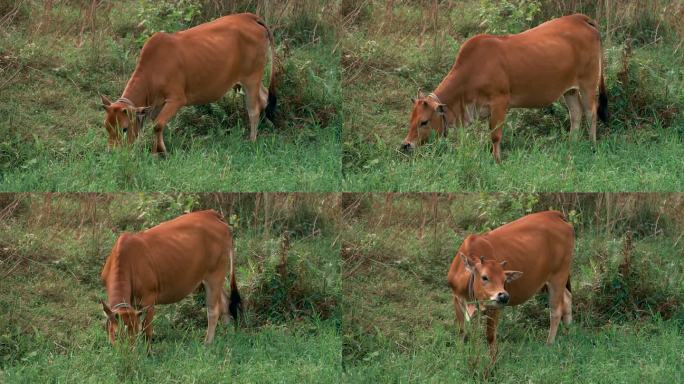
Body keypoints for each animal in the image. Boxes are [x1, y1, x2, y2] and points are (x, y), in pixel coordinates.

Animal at [99, 210, 240, 344]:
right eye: (116, 334)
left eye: (134, 332)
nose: (127, 352)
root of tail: (212, 214)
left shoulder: (149, 299)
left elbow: (147, 331)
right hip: (210, 276)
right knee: (225, 301)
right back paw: (228, 335)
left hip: (215, 273)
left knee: (213, 310)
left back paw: (208, 343)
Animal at [100, 14, 276, 154]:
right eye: (106, 126)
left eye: (124, 128)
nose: (111, 152)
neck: (152, 71)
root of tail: (250, 17)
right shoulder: (156, 104)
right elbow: (156, 125)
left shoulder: (177, 99)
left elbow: (157, 125)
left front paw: (159, 151)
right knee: (264, 97)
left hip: (252, 77)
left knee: (253, 109)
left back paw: (252, 140)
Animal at [400, 14, 608, 162]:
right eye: (411, 119)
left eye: (424, 122)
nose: (406, 145)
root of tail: (580, 19)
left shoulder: (500, 102)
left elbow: (495, 135)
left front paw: (497, 161)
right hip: (569, 90)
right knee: (576, 113)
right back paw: (572, 145)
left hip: (588, 83)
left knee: (591, 112)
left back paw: (592, 146)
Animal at [446, 208, 576, 358]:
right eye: (484, 277)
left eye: (504, 280)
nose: (504, 296)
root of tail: (555, 214)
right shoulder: (456, 298)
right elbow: (461, 331)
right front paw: (460, 353)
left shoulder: (494, 306)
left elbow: (490, 336)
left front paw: (492, 359)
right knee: (567, 297)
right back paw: (567, 332)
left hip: (559, 274)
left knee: (556, 310)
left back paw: (549, 343)